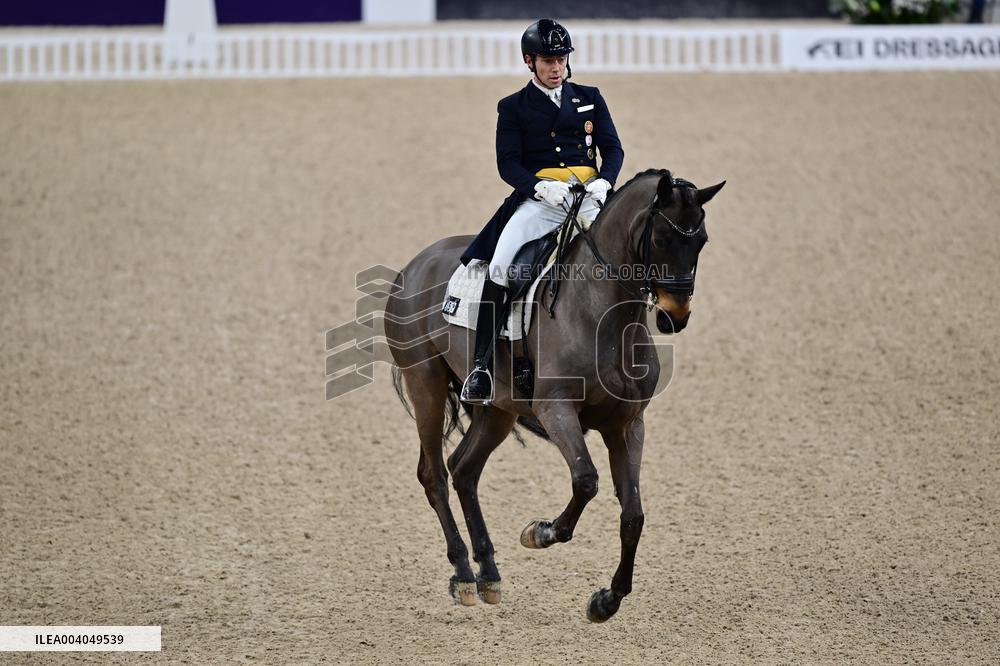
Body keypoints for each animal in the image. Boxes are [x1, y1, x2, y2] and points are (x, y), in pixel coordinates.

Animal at [384, 169, 724, 621]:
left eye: (701, 240)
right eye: (662, 238)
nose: (676, 315)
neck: (605, 315)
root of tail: (413, 266)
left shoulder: (628, 425)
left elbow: (633, 515)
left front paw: (607, 600)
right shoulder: (556, 409)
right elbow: (586, 481)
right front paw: (540, 533)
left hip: (497, 410)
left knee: (464, 470)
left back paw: (488, 573)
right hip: (425, 383)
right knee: (434, 474)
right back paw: (464, 575)